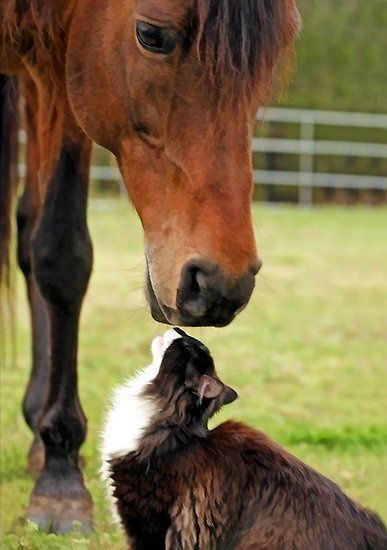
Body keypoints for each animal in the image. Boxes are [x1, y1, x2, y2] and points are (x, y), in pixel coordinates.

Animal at [0, 0, 300, 536]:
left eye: (279, 48)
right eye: (150, 35)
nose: (221, 286)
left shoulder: (63, 68)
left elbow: (60, 250)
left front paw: (59, 471)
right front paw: (61, 478)